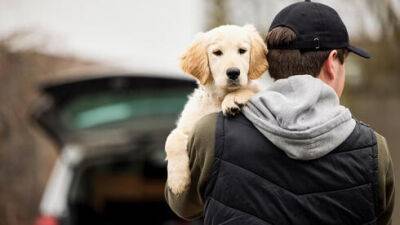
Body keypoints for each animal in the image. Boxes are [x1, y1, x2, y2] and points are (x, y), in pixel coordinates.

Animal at [166, 24, 268, 193]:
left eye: (242, 51)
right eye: (217, 53)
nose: (233, 72)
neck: (218, 97)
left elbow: (250, 90)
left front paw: (233, 99)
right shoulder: (188, 125)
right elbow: (172, 139)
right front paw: (178, 181)